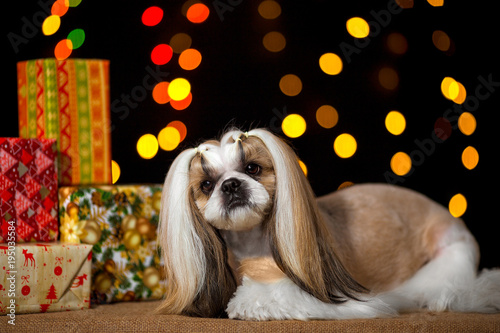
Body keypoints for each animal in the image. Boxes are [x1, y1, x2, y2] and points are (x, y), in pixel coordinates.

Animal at [155, 127, 496, 320]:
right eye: (206, 185)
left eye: (253, 168)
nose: (230, 185)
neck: (255, 246)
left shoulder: (331, 295)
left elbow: (268, 295)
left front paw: (246, 301)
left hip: (449, 256)